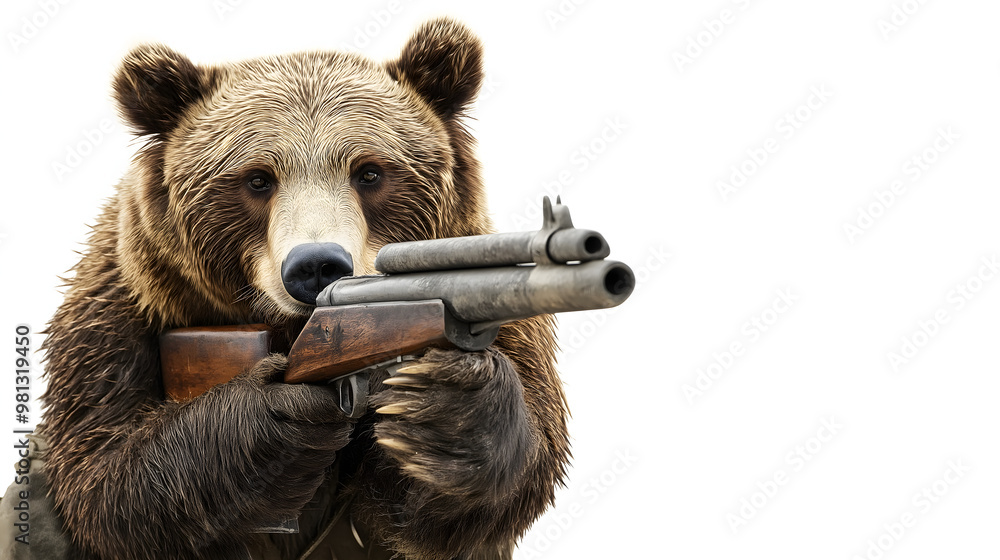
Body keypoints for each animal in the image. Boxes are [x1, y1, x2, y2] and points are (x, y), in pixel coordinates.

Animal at [33, 18, 570, 560]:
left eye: (370, 171)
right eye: (257, 179)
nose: (315, 265)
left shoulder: (508, 317)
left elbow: (477, 495)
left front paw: (449, 412)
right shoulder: (122, 310)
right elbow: (104, 473)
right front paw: (276, 426)